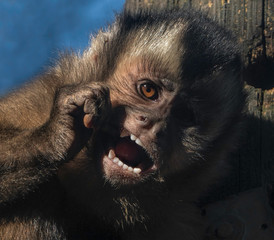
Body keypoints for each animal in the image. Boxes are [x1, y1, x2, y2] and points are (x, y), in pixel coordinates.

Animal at [0, 7, 244, 240]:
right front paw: (56, 135)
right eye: (148, 90)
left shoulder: (176, 224)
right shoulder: (39, 100)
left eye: (184, 115)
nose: (153, 124)